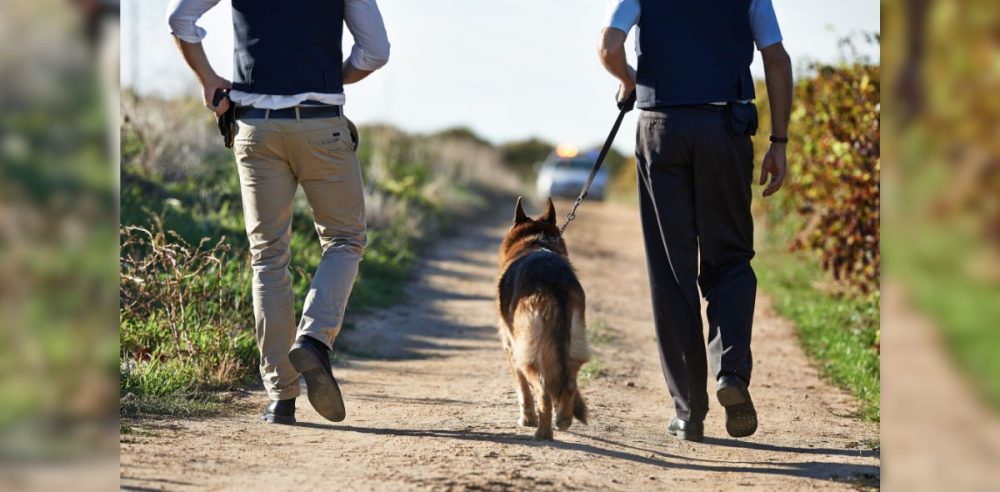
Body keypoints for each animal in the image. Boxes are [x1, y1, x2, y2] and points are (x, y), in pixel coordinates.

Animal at [498, 198, 588, 440]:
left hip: (527, 353)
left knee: (543, 391)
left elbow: (522, 389)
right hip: (574, 345)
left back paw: (543, 432)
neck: (535, 242)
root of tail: (552, 283)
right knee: (569, 382)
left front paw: (527, 418)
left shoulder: (511, 348)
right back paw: (563, 418)